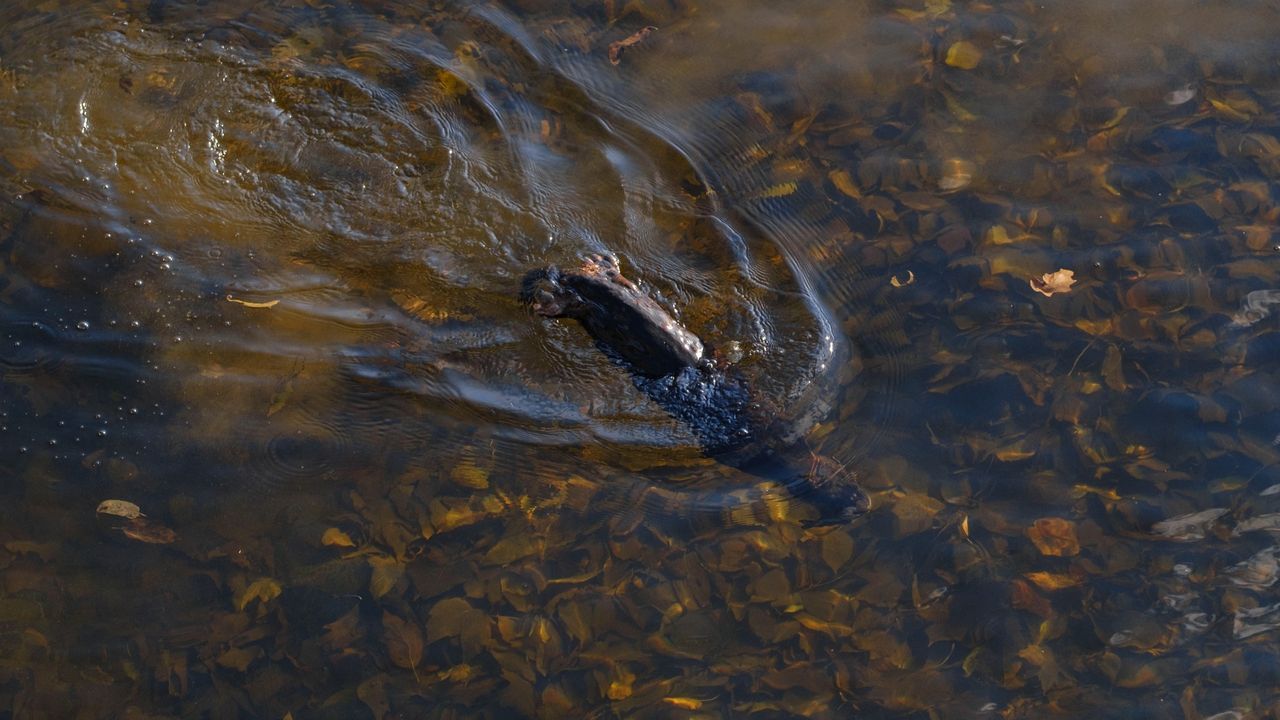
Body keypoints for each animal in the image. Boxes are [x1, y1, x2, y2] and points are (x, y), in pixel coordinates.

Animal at [523, 253, 868, 526]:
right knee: (577, 302)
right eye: (849, 499)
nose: (864, 502)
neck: (788, 455)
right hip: (594, 315)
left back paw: (601, 263)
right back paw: (550, 301)